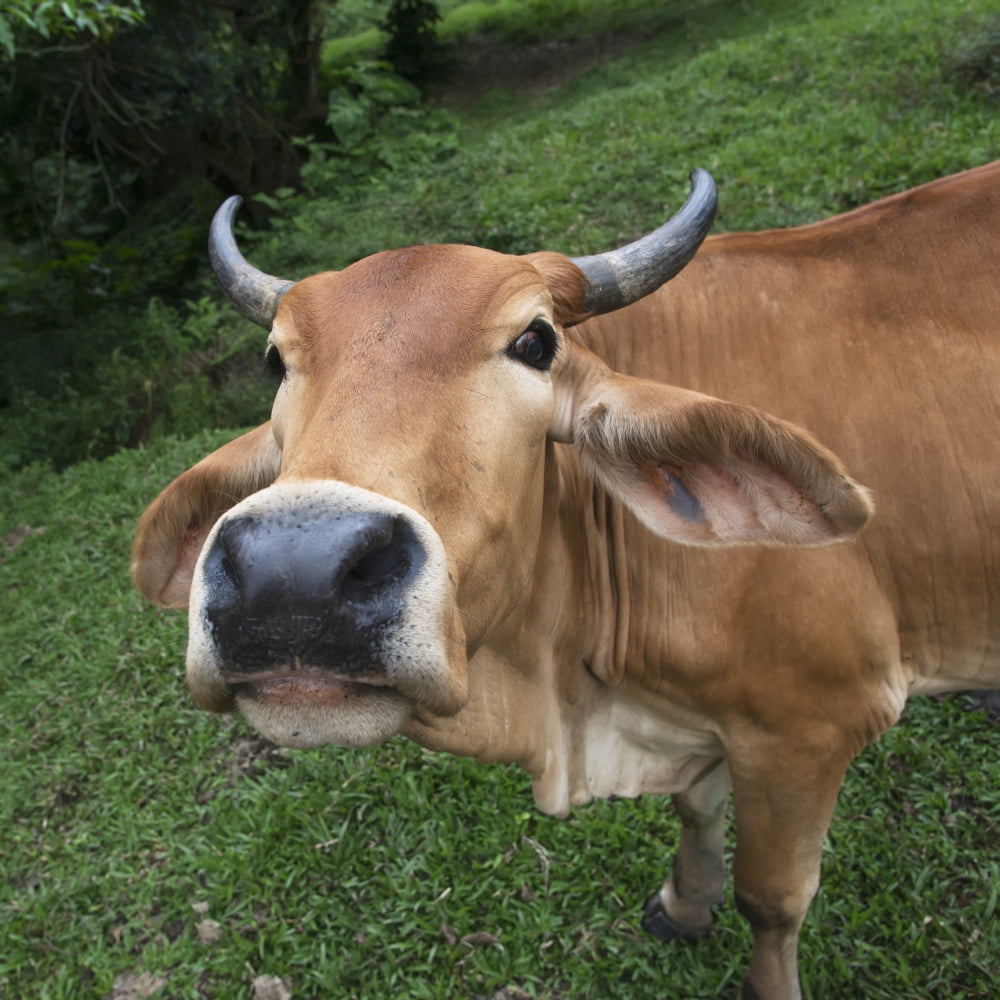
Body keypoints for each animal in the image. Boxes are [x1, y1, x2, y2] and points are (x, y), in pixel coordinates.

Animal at [132, 160, 1000, 1000]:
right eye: (276, 360)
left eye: (535, 340)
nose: (293, 578)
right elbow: (696, 808)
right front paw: (686, 904)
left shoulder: (810, 727)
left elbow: (772, 899)